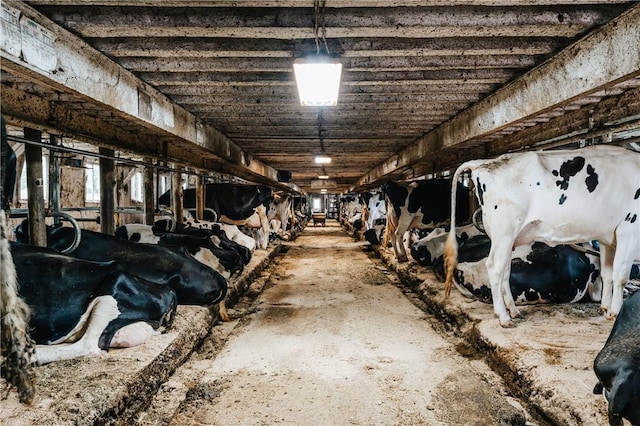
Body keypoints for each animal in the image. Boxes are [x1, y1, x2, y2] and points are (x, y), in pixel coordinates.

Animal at [444, 145, 640, 328]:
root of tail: (485, 162)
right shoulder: (629, 230)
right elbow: (621, 276)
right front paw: (615, 312)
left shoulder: (607, 237)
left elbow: (608, 273)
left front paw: (606, 308)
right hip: (504, 231)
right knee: (495, 268)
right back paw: (504, 317)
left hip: (506, 238)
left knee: (505, 269)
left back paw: (513, 311)